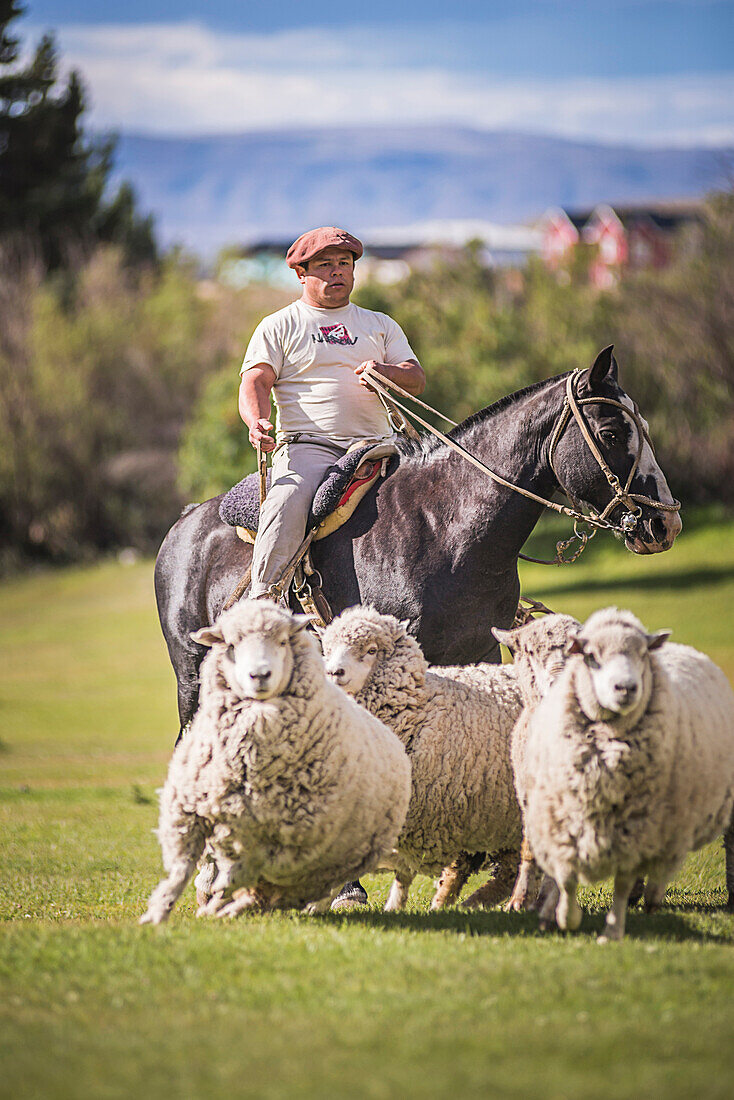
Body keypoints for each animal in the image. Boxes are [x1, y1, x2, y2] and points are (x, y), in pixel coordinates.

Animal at [139, 598, 413, 924]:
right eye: (231, 645)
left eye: (282, 641)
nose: (259, 675)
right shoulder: (188, 811)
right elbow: (180, 869)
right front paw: (157, 913)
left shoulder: (278, 846)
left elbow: (237, 877)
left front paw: (216, 900)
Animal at [156, 347, 682, 734]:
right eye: (610, 432)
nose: (665, 523)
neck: (446, 528)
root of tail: (186, 522)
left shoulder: (478, 653)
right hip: (191, 674)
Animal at [517, 607, 734, 941]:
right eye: (591, 655)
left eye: (642, 654)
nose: (626, 688)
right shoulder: (563, 821)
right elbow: (565, 877)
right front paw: (563, 916)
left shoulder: (636, 828)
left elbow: (621, 883)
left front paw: (612, 930)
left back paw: (652, 897)